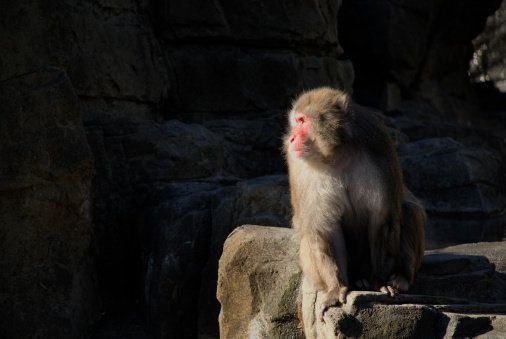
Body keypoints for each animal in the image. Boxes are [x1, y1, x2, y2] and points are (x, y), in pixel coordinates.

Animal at [282, 86, 424, 322]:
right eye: (296, 121)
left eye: (303, 121)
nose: (291, 138)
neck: (336, 153)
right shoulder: (302, 170)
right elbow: (324, 228)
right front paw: (335, 288)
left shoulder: (378, 147)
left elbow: (382, 219)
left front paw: (379, 281)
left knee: (408, 210)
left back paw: (399, 278)